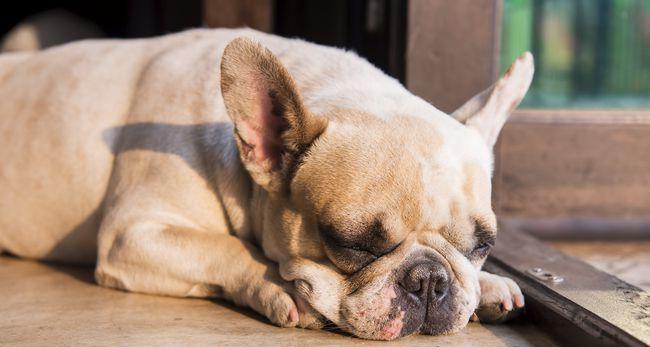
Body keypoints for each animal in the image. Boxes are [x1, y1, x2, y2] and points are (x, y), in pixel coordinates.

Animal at [0, 29, 532, 340]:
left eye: (484, 246)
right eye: (350, 244)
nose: (429, 281)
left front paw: (487, 285)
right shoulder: (133, 233)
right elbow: (227, 247)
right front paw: (279, 288)